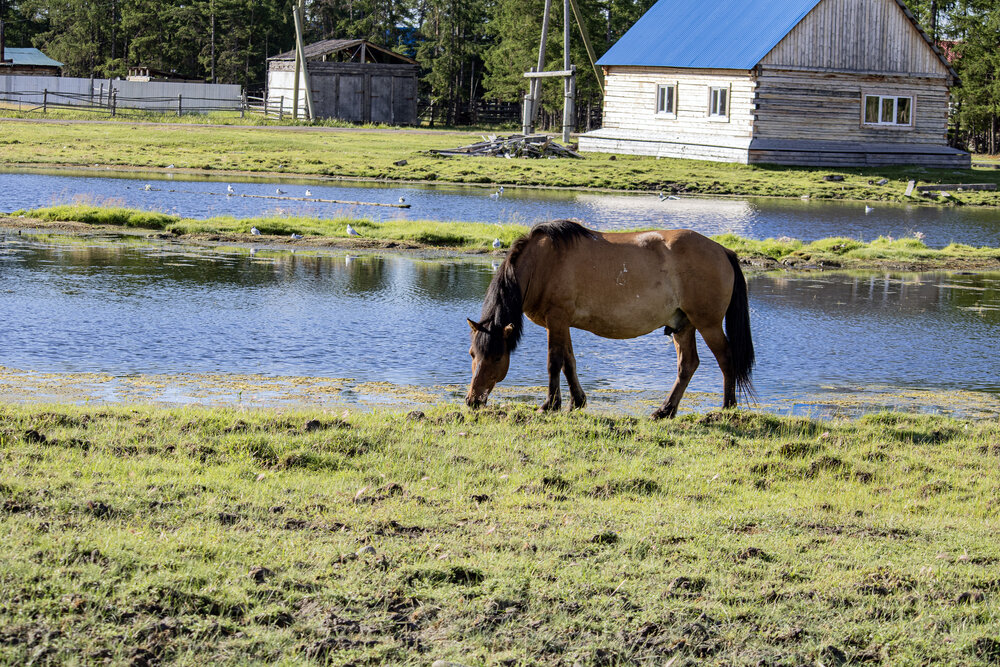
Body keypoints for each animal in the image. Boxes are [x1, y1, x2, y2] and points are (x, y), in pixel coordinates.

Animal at [465, 219, 755, 418]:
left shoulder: (556, 320)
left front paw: (550, 405)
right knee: (687, 365)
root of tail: (723, 251)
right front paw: (577, 402)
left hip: (708, 324)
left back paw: (727, 407)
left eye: (497, 357)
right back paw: (665, 410)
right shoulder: (562, 323)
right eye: (472, 354)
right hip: (683, 325)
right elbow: (569, 363)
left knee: (726, 358)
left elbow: (554, 362)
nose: (473, 400)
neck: (541, 264)